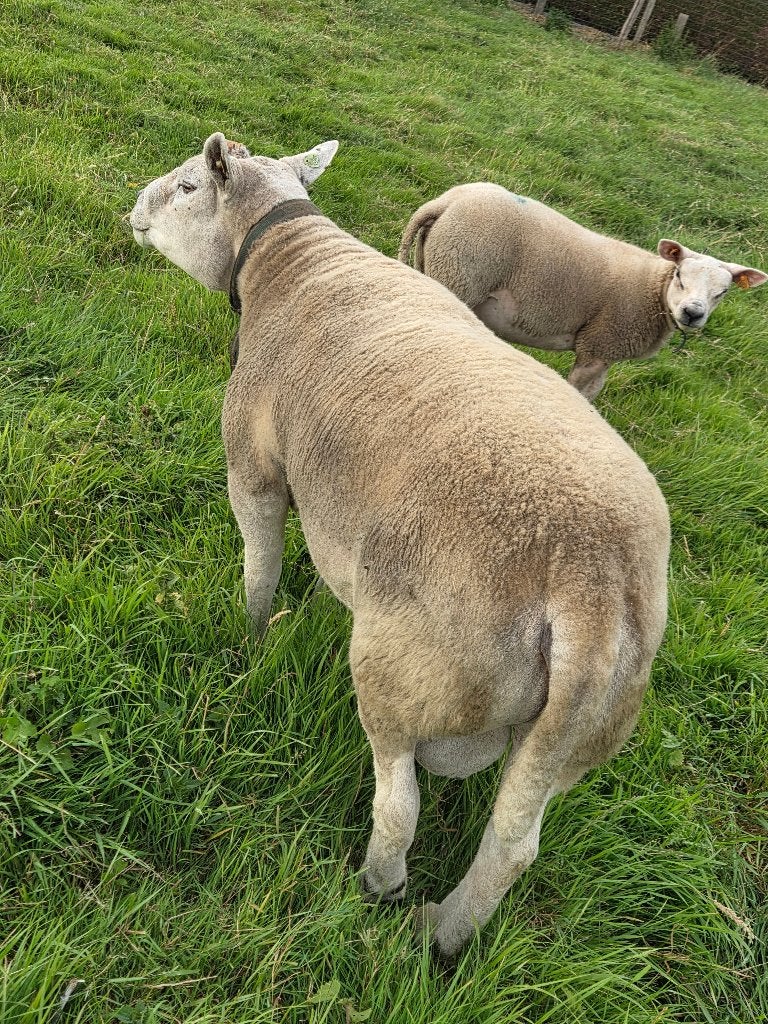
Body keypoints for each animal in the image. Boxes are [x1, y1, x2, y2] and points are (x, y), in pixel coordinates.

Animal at [129, 133, 671, 960]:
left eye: (188, 186)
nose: (134, 207)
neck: (290, 260)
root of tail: (591, 584)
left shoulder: (252, 466)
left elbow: (259, 566)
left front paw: (252, 638)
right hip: (580, 730)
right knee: (513, 844)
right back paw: (443, 934)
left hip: (410, 670)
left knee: (401, 803)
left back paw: (377, 887)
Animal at [399, 183, 767, 400]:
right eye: (679, 275)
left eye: (723, 292)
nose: (693, 313)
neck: (653, 288)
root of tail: (445, 202)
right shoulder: (598, 343)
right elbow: (576, 392)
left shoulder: (607, 353)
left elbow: (592, 394)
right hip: (460, 272)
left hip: (433, 264)